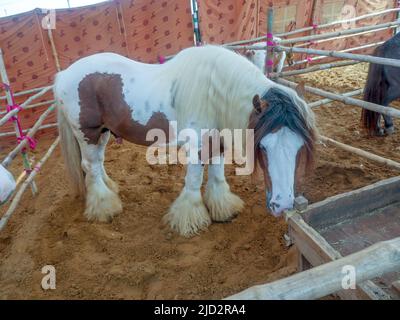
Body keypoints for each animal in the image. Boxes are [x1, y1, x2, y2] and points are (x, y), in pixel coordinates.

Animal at [54, 44, 318, 235]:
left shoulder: (218, 143)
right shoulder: (197, 147)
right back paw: (104, 207)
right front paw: (189, 220)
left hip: (104, 132)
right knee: (90, 166)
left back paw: (109, 189)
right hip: (87, 133)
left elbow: (217, 175)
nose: (283, 205)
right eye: (262, 146)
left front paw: (223, 208)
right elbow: (194, 181)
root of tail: (63, 75)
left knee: (98, 164)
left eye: (298, 147)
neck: (214, 92)